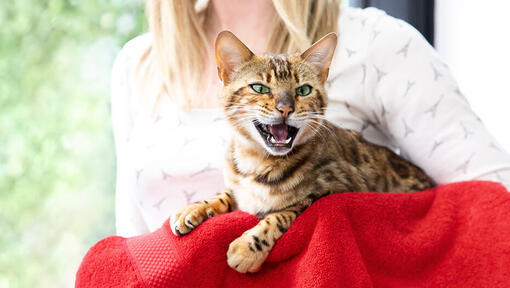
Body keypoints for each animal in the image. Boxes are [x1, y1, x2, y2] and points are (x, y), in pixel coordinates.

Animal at [169, 30, 432, 274]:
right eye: (260, 88)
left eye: (303, 90)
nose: (285, 108)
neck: (257, 162)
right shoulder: (239, 188)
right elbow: (225, 193)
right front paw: (193, 208)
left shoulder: (335, 188)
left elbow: (283, 213)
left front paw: (249, 246)